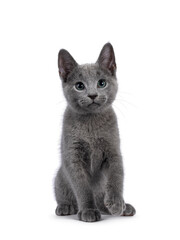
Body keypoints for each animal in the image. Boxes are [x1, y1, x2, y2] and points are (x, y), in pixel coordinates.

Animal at [54, 42, 136, 221]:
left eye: (102, 83)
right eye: (79, 86)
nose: (92, 95)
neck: (91, 126)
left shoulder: (113, 150)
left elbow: (116, 177)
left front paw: (116, 203)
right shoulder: (73, 156)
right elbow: (82, 186)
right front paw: (88, 210)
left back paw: (122, 207)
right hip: (60, 176)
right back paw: (66, 207)